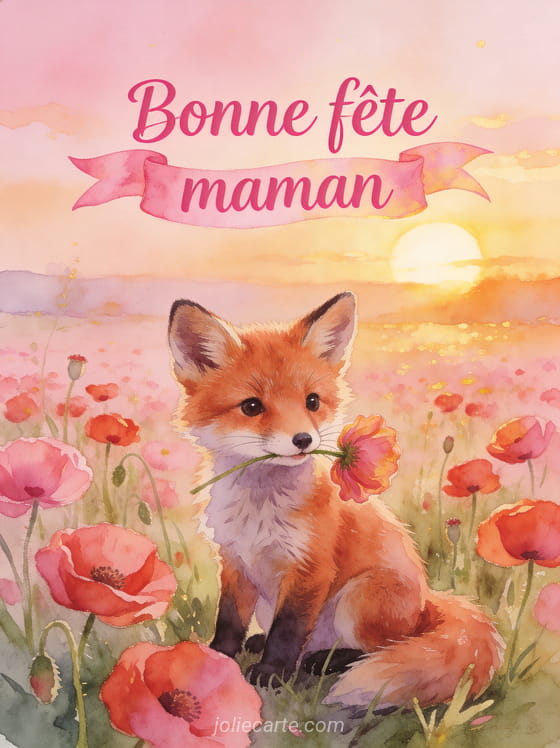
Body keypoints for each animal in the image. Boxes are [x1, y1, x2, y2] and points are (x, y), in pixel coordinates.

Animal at [168, 291, 504, 710]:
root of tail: (427, 602)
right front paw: (214, 659)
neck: (259, 510)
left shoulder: (310, 567)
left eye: (312, 401)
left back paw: (326, 661)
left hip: (360, 598)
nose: (303, 440)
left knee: (380, 647)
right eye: (251, 407)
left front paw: (272, 674)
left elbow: (288, 631)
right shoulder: (235, 562)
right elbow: (228, 622)